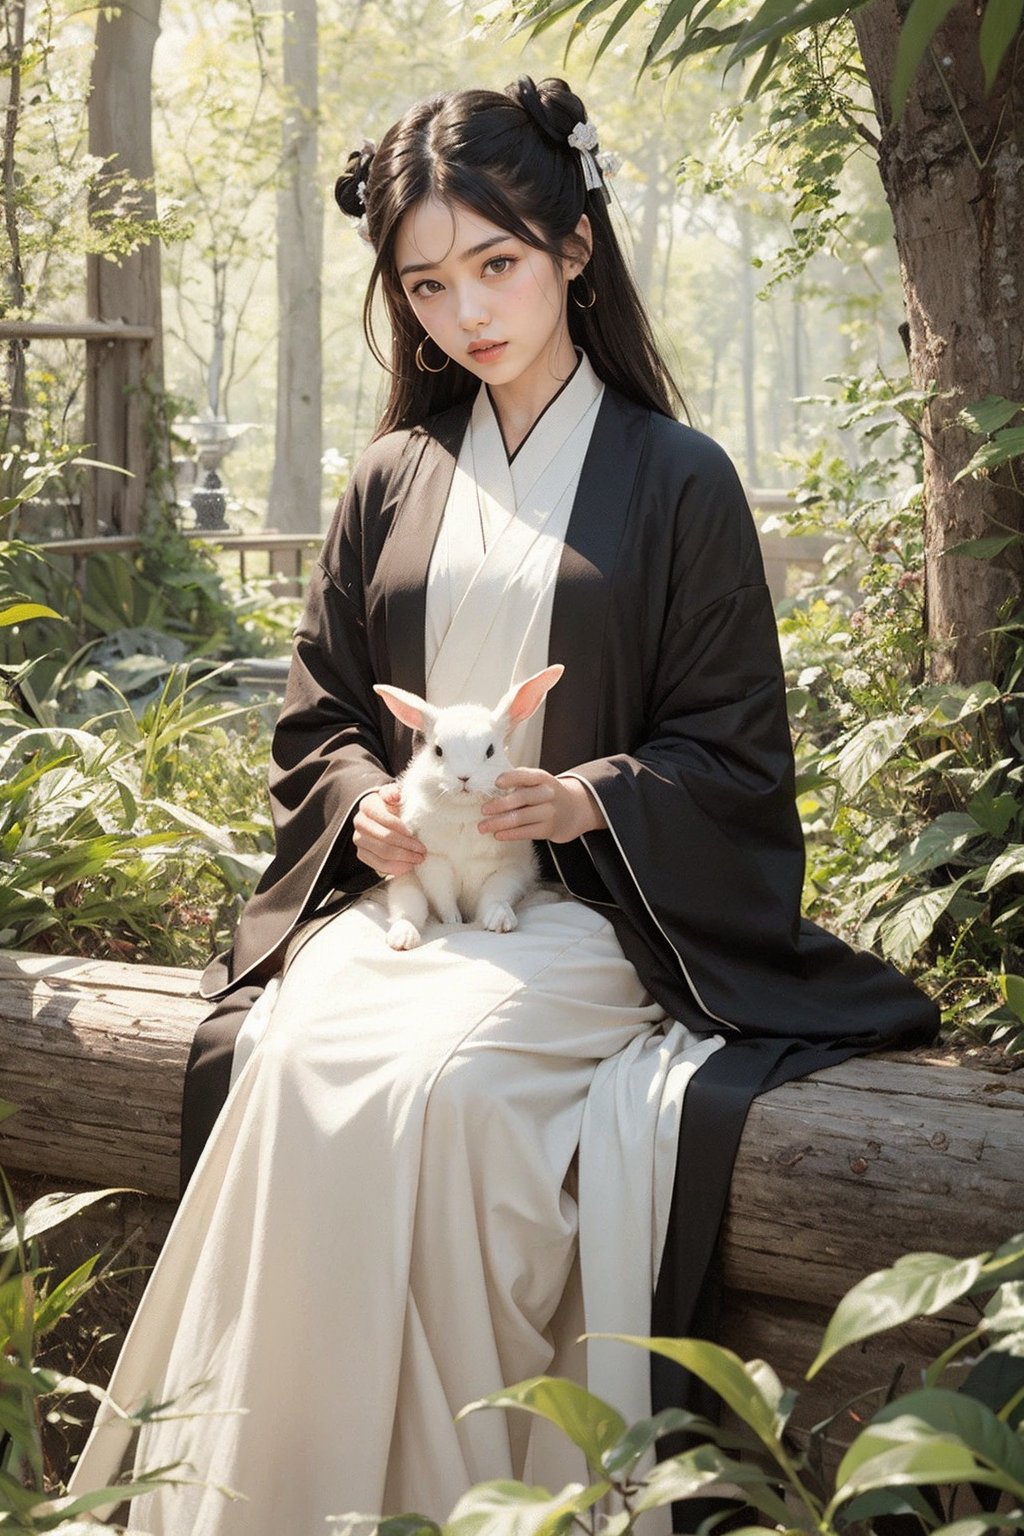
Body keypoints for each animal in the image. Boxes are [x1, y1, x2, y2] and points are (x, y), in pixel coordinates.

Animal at [373, 666, 564, 952]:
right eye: (438, 750)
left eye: (490, 750)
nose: (463, 777)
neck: (462, 811)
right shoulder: (433, 862)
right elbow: (443, 897)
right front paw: (453, 921)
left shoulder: (502, 869)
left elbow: (493, 896)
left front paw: (498, 922)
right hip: (405, 886)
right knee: (408, 912)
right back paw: (402, 939)